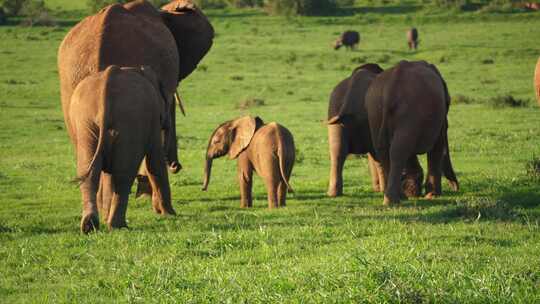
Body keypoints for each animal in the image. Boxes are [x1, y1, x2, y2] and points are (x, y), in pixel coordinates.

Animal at [67, 65, 173, 234]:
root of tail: (106, 85)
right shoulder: (153, 120)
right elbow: (155, 162)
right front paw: (170, 214)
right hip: (130, 120)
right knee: (123, 176)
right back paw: (118, 226)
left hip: (85, 122)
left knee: (90, 171)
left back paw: (90, 226)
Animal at [364, 60, 458, 205]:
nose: (455, 188)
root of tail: (390, 88)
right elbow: (437, 144)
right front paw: (432, 196)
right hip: (408, 112)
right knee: (398, 151)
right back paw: (393, 200)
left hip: (375, 111)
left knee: (384, 151)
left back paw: (398, 197)